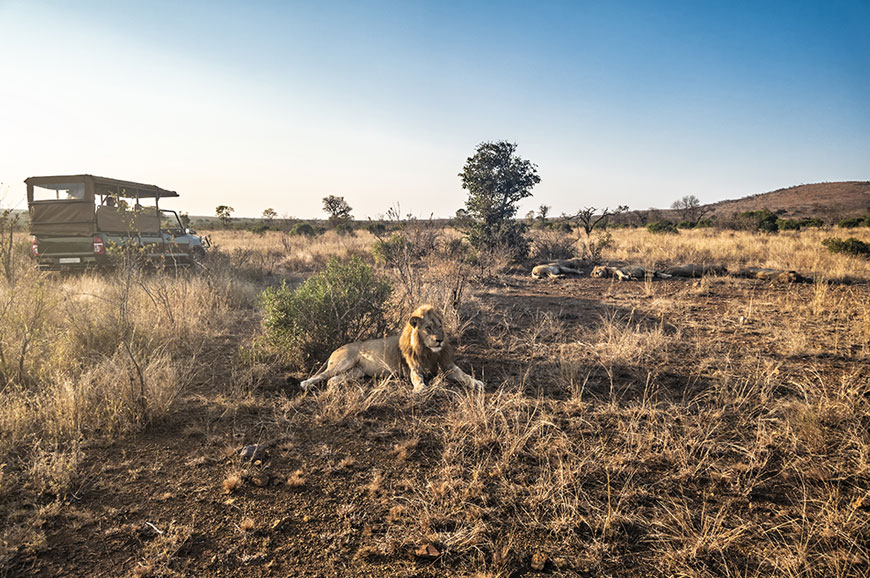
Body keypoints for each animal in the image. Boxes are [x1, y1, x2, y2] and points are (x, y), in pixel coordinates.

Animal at [302, 302, 488, 392]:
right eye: (428, 328)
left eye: (440, 326)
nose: (440, 340)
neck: (428, 352)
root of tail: (337, 349)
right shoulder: (414, 368)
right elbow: (417, 378)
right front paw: (421, 388)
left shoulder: (448, 365)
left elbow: (464, 375)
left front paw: (477, 382)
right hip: (344, 362)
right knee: (321, 376)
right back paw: (307, 385)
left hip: (355, 371)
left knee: (331, 380)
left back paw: (338, 387)